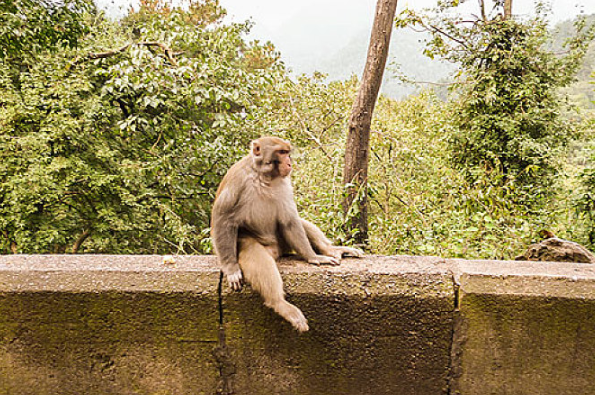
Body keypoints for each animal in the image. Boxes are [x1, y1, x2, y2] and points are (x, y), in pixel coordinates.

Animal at [212, 136, 366, 332]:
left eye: (287, 152)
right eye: (281, 152)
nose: (289, 162)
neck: (264, 175)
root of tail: (277, 250)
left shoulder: (285, 183)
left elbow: (290, 220)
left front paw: (314, 257)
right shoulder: (237, 180)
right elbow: (223, 219)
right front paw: (231, 268)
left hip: (283, 241)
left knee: (298, 223)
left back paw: (330, 251)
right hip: (261, 245)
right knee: (254, 253)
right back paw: (280, 303)